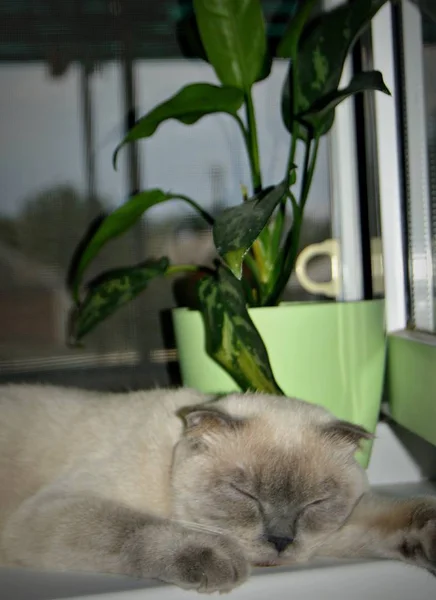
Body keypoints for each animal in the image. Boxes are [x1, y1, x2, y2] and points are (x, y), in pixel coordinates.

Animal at [0, 384, 434, 592]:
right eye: (245, 495)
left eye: (315, 503)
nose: (280, 542)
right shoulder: (55, 508)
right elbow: (137, 527)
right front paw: (217, 558)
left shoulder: (333, 532)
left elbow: (400, 514)